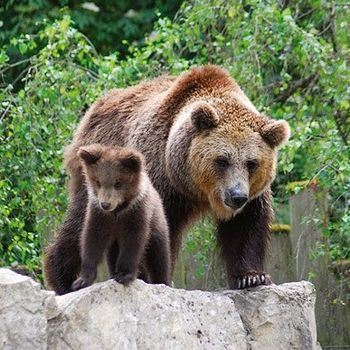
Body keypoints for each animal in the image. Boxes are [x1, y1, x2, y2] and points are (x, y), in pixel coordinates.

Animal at [43, 64, 290, 294]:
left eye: (251, 163)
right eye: (222, 160)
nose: (236, 196)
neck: (193, 189)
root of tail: (94, 109)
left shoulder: (253, 196)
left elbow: (245, 227)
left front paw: (252, 277)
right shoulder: (159, 179)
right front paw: (147, 277)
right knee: (82, 221)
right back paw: (62, 277)